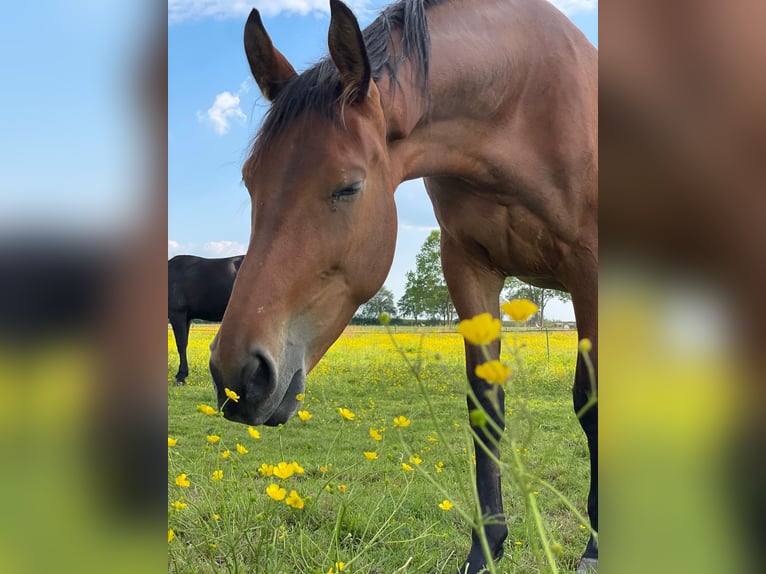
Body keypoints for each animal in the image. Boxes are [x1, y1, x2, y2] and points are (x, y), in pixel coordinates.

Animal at [210, 2, 600, 572]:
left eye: (348, 186)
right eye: (248, 181)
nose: (237, 374)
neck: (523, 99)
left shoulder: (589, 268)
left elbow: (591, 403)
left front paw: (595, 546)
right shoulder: (468, 267)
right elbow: (485, 405)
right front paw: (486, 548)